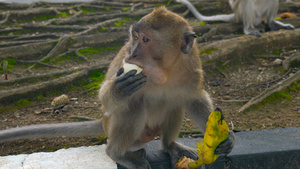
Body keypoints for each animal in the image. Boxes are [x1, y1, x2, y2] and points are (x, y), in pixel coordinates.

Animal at [0, 6, 234, 168]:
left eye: (146, 40)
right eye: (135, 37)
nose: (133, 55)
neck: (165, 72)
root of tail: (103, 124)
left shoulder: (191, 66)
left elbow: (195, 99)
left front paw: (225, 139)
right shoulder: (123, 59)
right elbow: (106, 98)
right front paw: (119, 89)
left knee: (175, 102)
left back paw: (170, 146)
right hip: (113, 126)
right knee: (134, 103)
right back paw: (117, 153)